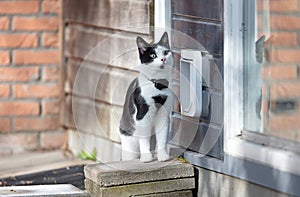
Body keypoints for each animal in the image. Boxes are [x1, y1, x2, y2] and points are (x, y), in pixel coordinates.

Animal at [118, 31, 172, 162]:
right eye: (153, 55)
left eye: (166, 52)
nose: (163, 59)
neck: (157, 85)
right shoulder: (142, 114)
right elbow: (144, 139)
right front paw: (146, 157)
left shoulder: (164, 114)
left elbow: (162, 137)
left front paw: (162, 155)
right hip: (129, 143)